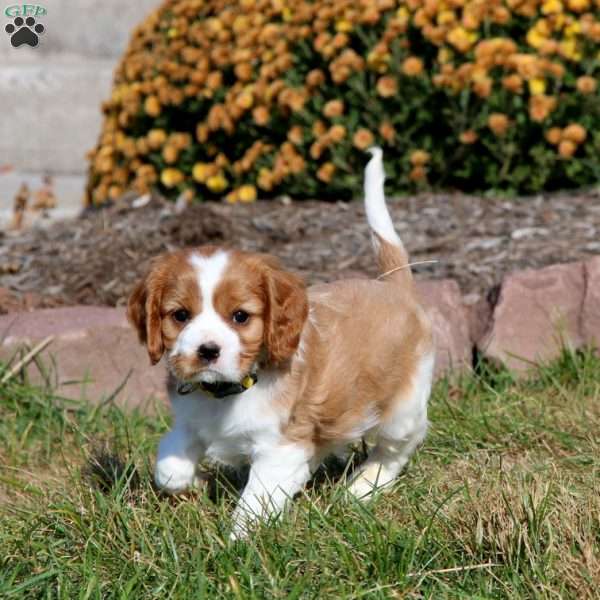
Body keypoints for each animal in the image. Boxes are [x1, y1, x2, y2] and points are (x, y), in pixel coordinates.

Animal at [129, 149, 434, 536]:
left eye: (240, 317)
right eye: (180, 315)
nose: (207, 351)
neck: (228, 392)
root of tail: (394, 287)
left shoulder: (281, 447)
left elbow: (254, 501)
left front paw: (236, 541)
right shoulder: (189, 419)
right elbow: (168, 464)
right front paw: (194, 482)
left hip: (404, 406)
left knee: (397, 449)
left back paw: (362, 488)